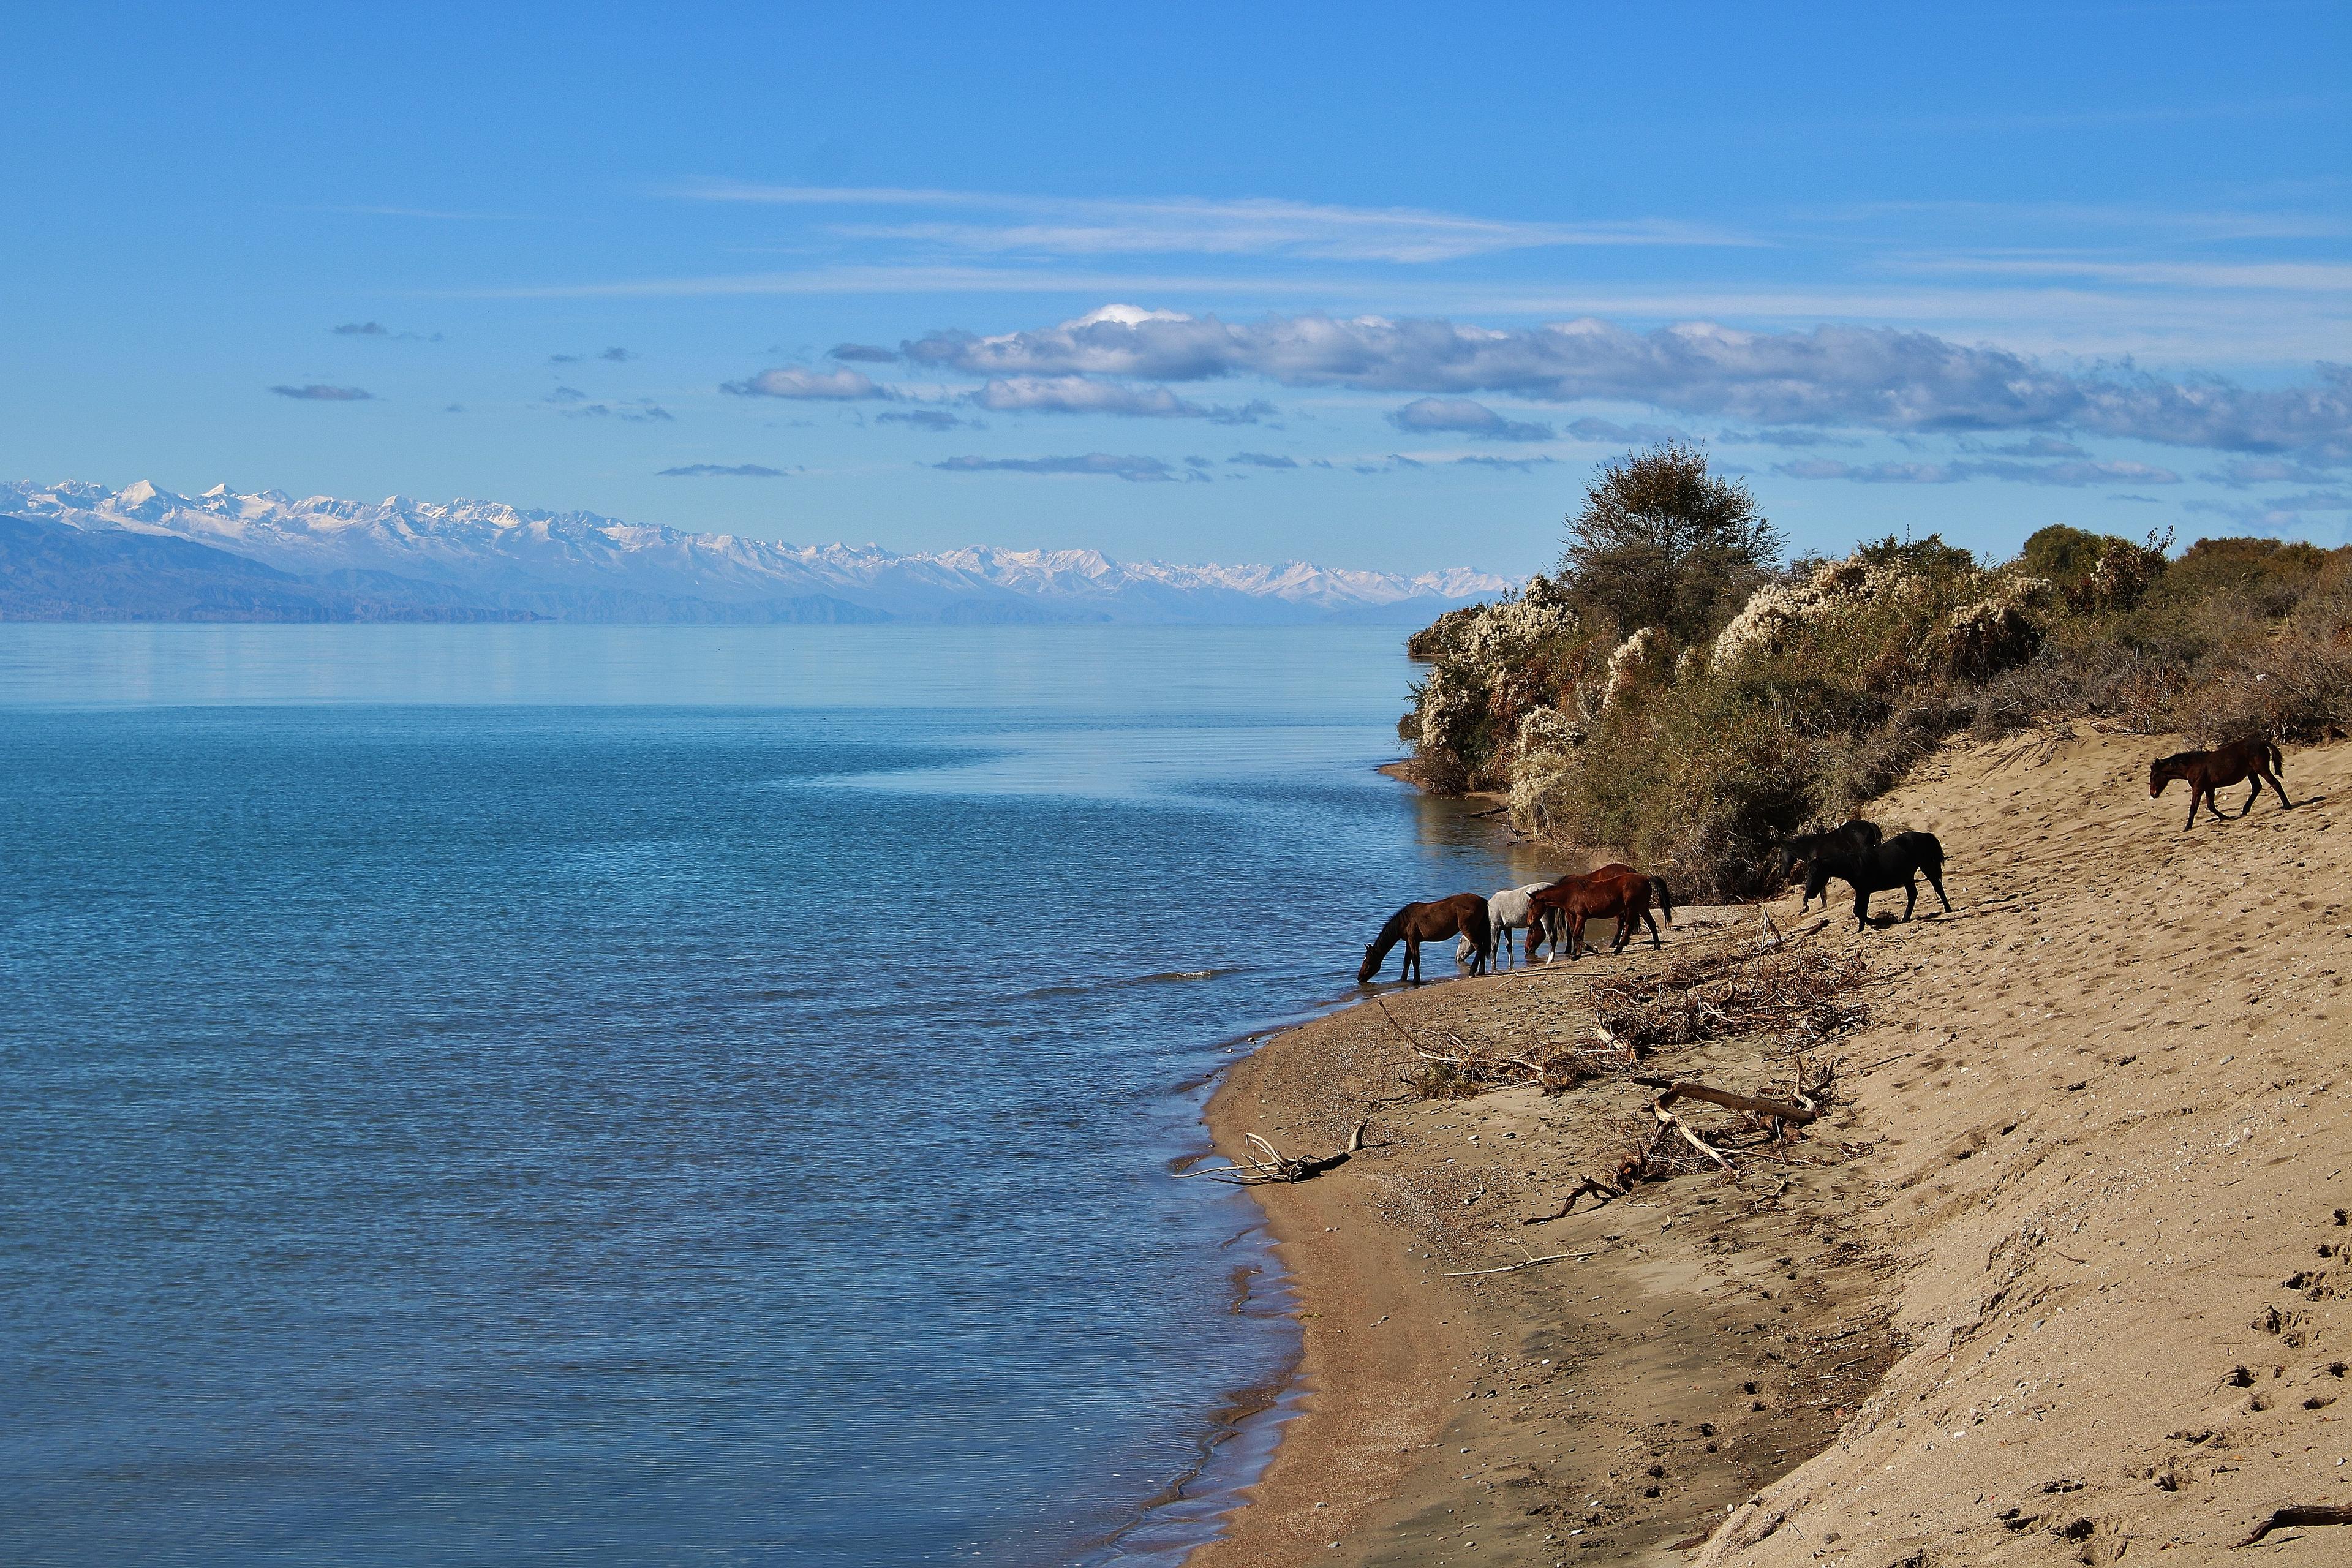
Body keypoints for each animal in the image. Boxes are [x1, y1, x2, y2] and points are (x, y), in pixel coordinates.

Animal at [1364, 893, 1486, 982]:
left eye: (1368, 962)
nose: (1360, 978)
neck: (1404, 921)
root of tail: (1482, 901)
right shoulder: (1409, 942)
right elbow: (1406, 960)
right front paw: (1403, 979)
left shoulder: (1414, 941)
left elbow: (1415, 960)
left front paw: (1416, 980)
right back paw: (1481, 972)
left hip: (1469, 930)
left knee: (1479, 949)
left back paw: (1472, 973)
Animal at [1449, 884, 1561, 968]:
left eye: (1460, 942)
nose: (1457, 958)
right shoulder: (1507, 928)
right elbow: (1509, 946)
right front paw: (1511, 964)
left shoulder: (1495, 927)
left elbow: (1494, 947)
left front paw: (1493, 964)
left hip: (1546, 919)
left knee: (1551, 937)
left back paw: (1550, 960)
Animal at [1768, 818, 1882, 912]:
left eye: (1782, 855)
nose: (1783, 873)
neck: (1811, 847)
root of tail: (1868, 824)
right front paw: (1823, 906)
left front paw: (1806, 906)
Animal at [1796, 832, 1947, 930]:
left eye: (1815, 873)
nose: (1809, 894)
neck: (1852, 865)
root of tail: (1924, 835)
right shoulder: (1862, 891)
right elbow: (1859, 911)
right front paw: (1862, 929)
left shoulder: (1865, 890)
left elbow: (1859, 911)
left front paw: (1876, 921)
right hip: (1908, 877)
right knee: (1913, 894)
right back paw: (1905, 919)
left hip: (1926, 865)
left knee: (1937, 886)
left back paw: (1948, 910)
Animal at [2145, 738, 2286, 832]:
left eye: (2154, 776)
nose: (2153, 794)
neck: (2191, 766)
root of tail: (2262, 742)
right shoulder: (2209, 788)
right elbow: (2210, 806)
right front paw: (2227, 818)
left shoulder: (2198, 788)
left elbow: (2193, 809)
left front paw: (2186, 828)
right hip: (2251, 772)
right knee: (2257, 788)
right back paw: (2245, 811)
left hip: (2261, 769)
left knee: (2275, 784)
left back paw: (2287, 806)